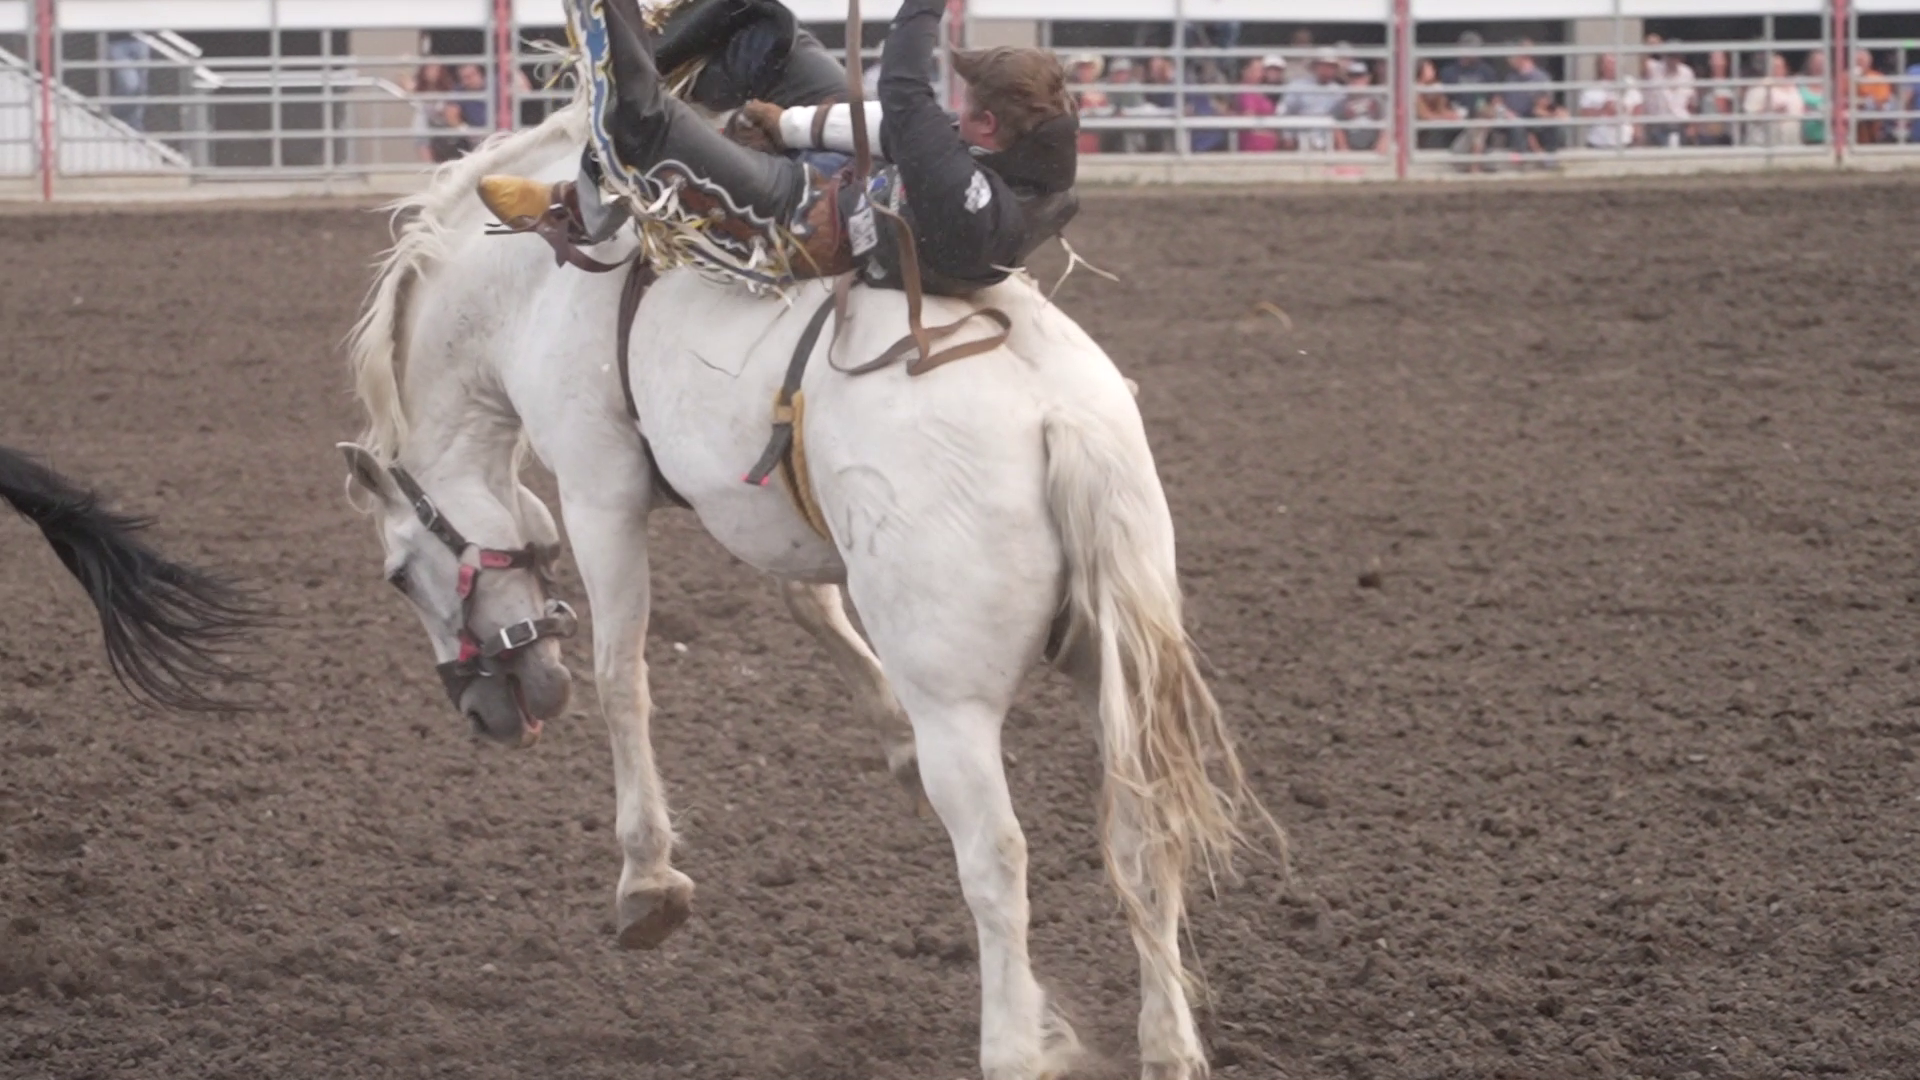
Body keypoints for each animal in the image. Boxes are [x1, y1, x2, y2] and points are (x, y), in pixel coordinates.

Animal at [337, 90, 1278, 1080]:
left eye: (398, 575)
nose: (485, 711)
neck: (537, 278)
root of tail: (1058, 416)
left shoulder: (599, 488)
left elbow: (620, 675)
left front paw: (647, 881)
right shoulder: (763, 499)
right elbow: (809, 601)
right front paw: (893, 748)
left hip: (961, 706)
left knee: (996, 859)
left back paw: (1015, 1043)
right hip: (1117, 667)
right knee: (1142, 834)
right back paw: (1166, 1043)